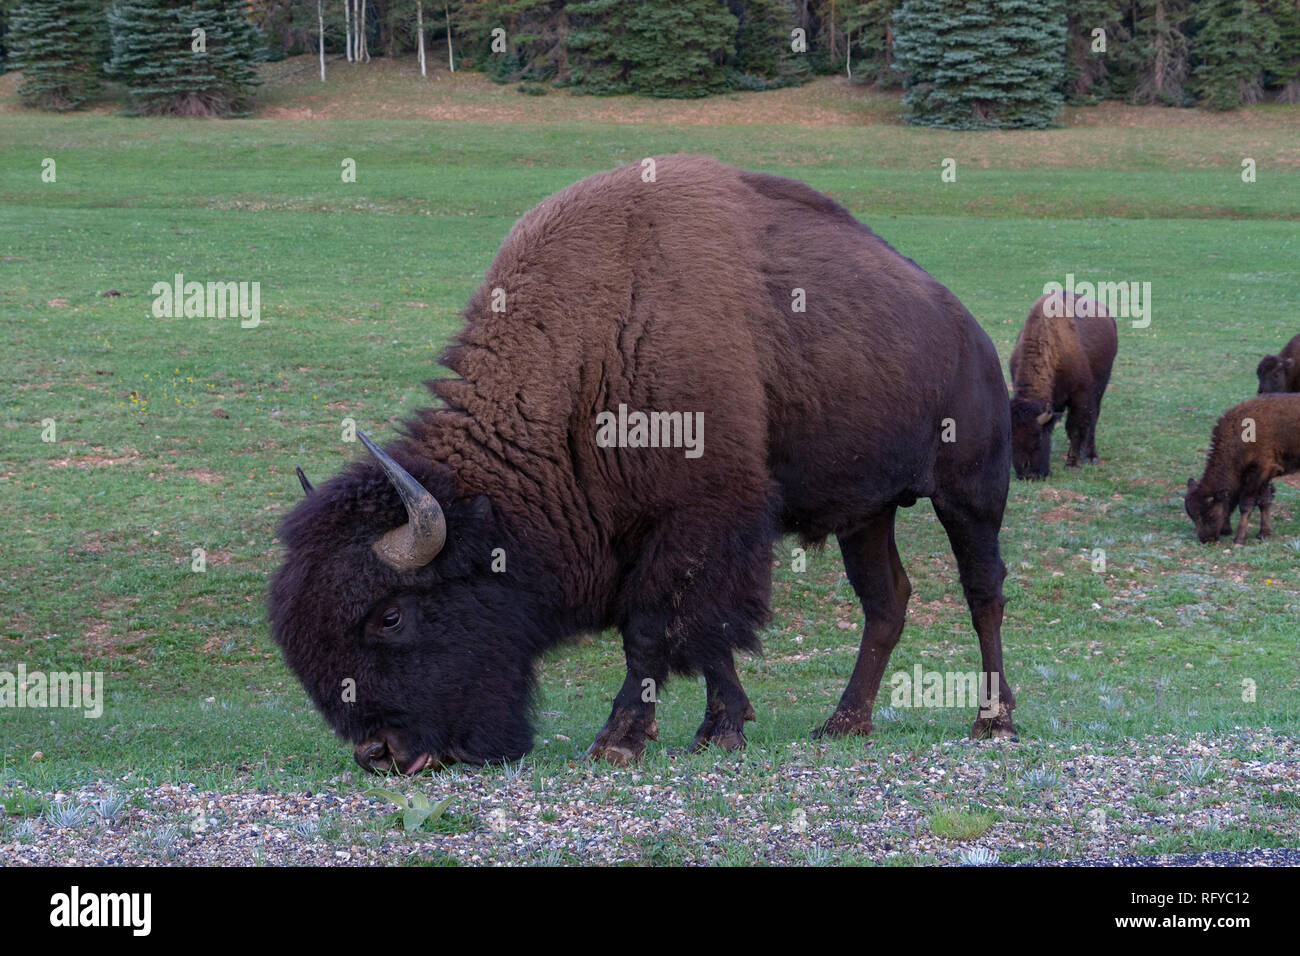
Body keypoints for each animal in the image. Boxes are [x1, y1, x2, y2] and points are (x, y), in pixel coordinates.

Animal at [266, 153, 1013, 775]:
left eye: (391, 617)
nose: (381, 754)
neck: (586, 352)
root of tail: (970, 331)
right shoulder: (677, 538)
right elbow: (704, 635)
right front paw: (719, 730)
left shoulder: (696, 522)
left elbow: (660, 630)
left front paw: (619, 741)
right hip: (867, 513)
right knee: (885, 602)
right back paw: (843, 723)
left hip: (970, 495)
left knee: (984, 591)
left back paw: (992, 722)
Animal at [1003, 291, 1118, 481]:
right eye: (1011, 442)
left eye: (1037, 438)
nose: (1028, 475)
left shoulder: (1081, 395)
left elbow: (1075, 427)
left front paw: (1072, 464)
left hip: (1101, 386)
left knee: (1093, 419)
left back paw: (1090, 456)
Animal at [1185, 395, 1300, 546]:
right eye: (1192, 516)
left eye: (1210, 514)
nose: (1206, 539)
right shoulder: (1265, 475)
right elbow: (1264, 501)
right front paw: (1264, 534)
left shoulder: (1260, 472)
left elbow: (1246, 504)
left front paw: (1239, 539)